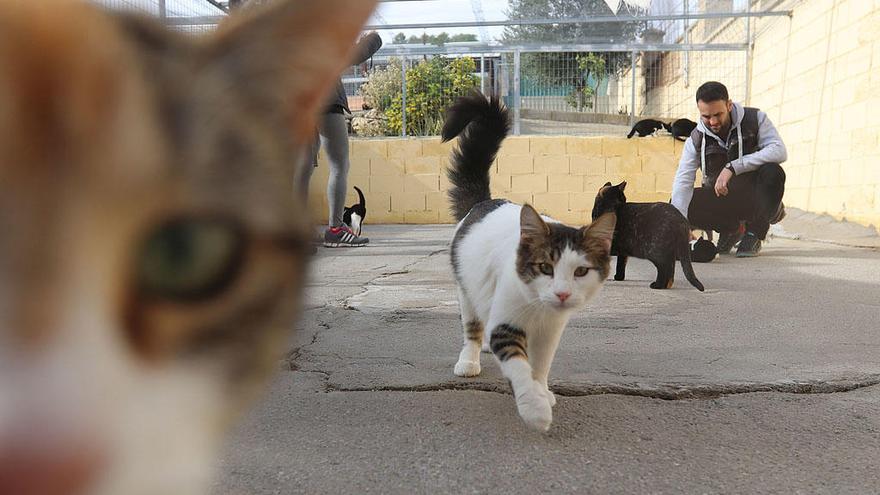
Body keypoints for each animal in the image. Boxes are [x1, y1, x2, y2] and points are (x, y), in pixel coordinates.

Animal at [444, 94, 616, 434]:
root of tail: (485, 202)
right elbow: (520, 368)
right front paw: (534, 408)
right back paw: (469, 359)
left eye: (580, 271)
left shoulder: (550, 331)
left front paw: (542, 391)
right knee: (472, 327)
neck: (538, 308)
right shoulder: (508, 324)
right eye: (545, 268)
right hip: (466, 290)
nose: (562, 294)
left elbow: (539, 366)